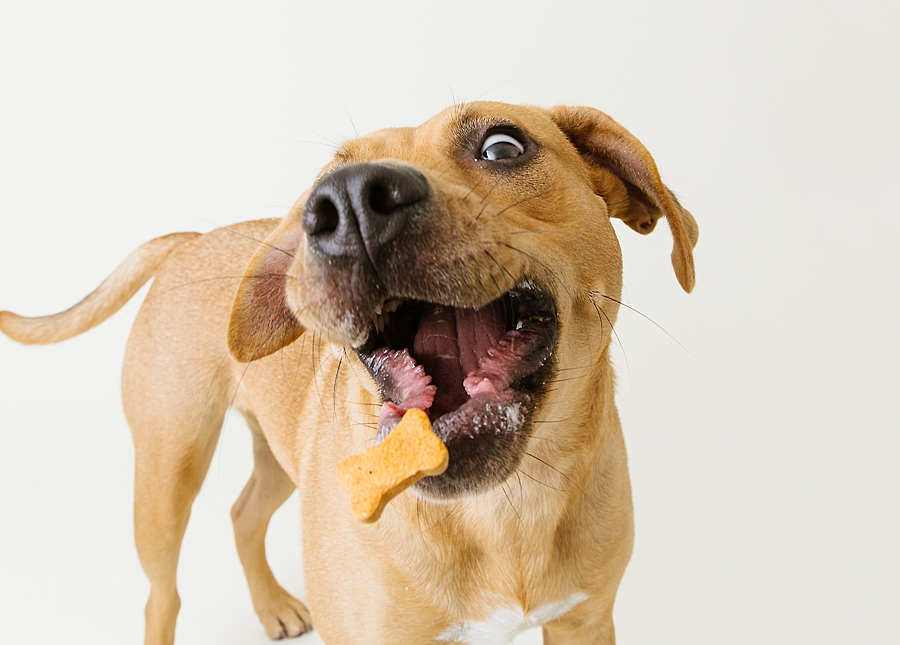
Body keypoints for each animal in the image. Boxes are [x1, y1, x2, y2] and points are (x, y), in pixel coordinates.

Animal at [0, 103, 700, 640]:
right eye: (326, 179)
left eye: (503, 146)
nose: (349, 199)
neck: (501, 510)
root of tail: (191, 241)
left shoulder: (586, 621)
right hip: (168, 469)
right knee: (161, 596)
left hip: (276, 454)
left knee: (243, 513)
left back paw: (273, 605)